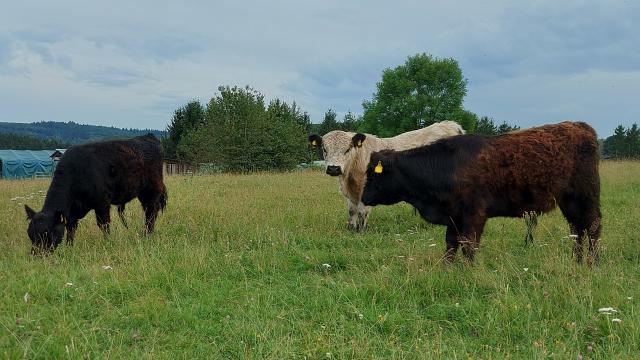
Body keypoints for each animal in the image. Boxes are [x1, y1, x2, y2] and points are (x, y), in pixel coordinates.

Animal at [24, 134, 168, 255]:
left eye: (47, 233)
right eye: (30, 233)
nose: (36, 255)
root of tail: (148, 137)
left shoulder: (102, 203)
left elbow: (104, 225)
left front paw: (108, 243)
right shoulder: (71, 212)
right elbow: (71, 229)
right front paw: (69, 248)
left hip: (152, 189)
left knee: (151, 213)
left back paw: (147, 235)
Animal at [308, 121, 462, 232]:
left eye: (347, 149)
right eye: (324, 149)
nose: (333, 168)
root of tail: (450, 124)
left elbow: (362, 212)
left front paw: (360, 231)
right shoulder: (350, 194)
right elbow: (352, 211)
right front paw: (350, 229)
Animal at [362, 121, 604, 264]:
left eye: (374, 175)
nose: (363, 198)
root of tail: (580, 126)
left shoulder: (474, 215)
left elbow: (469, 246)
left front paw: (467, 270)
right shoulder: (453, 217)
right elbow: (450, 244)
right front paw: (448, 269)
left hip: (586, 197)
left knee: (592, 227)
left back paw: (592, 262)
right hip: (569, 202)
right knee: (577, 230)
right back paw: (576, 260)